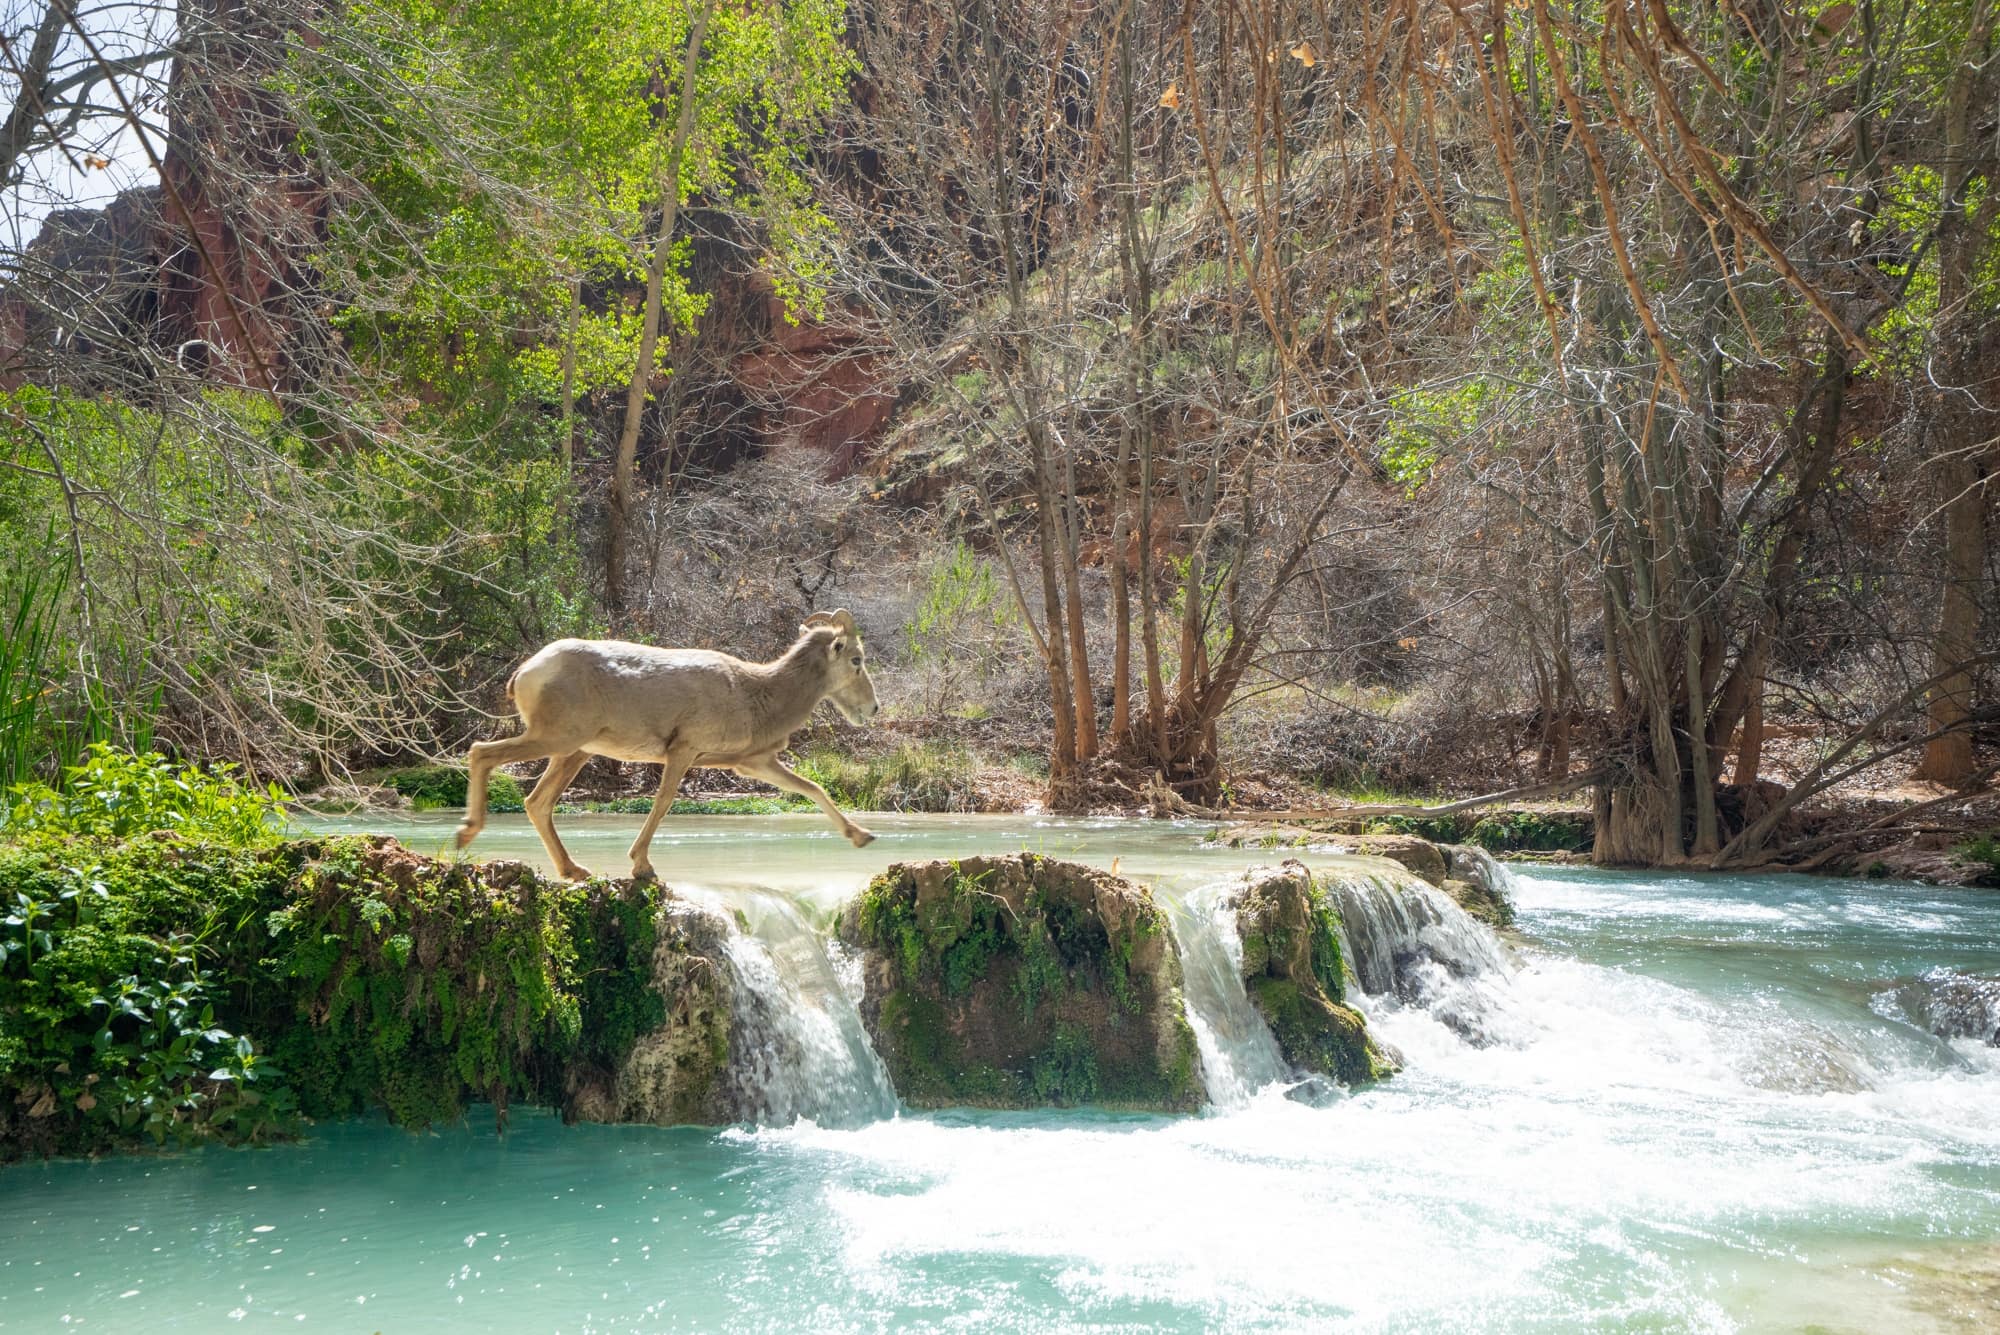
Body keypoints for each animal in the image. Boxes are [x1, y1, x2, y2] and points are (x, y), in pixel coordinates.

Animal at [464, 611, 888, 879]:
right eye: (856, 659)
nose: (873, 708)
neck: (755, 693)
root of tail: (527, 671)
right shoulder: (683, 751)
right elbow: (664, 802)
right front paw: (642, 867)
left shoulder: (752, 763)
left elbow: (812, 788)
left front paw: (863, 837)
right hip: (557, 739)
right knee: (481, 753)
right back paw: (466, 833)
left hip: (573, 752)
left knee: (537, 802)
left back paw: (574, 871)